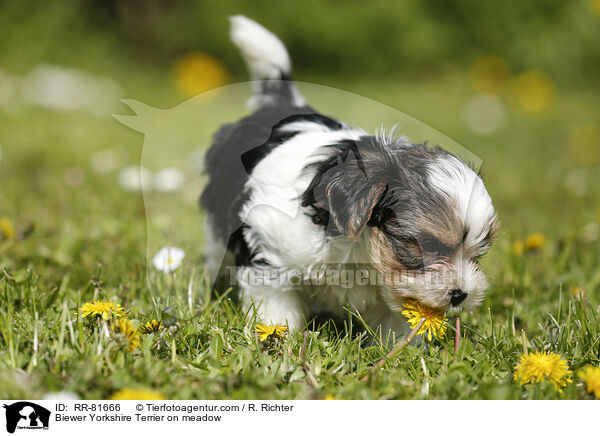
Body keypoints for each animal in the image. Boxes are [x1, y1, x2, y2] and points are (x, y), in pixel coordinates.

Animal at [202, 16, 496, 338]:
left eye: (478, 255)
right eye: (426, 246)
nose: (461, 295)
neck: (359, 250)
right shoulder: (268, 240)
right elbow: (276, 298)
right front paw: (279, 333)